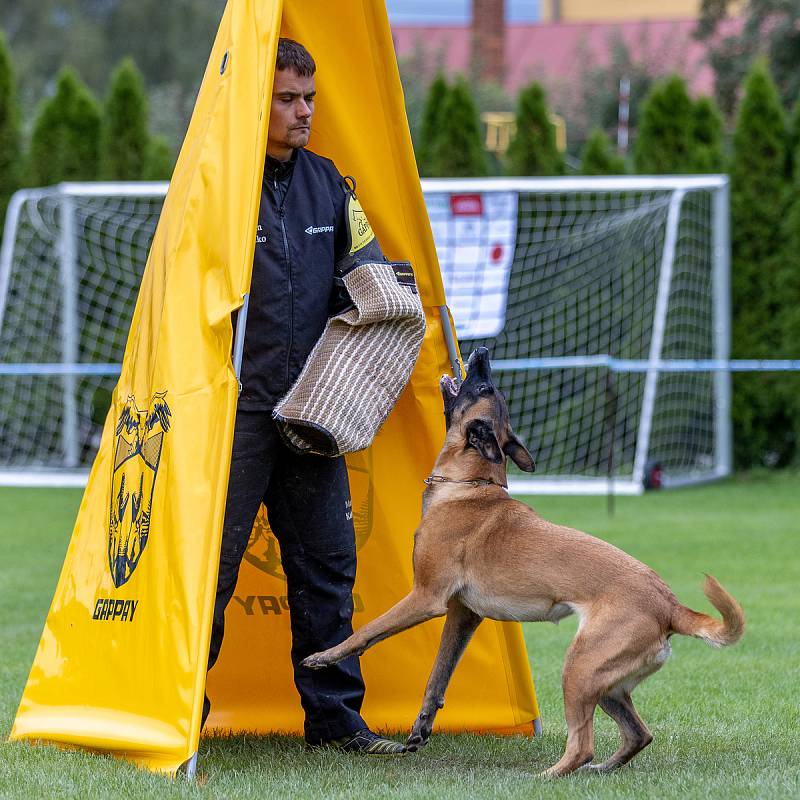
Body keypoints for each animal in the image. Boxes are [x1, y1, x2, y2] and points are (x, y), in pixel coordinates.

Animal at [304, 346, 748, 772]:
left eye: (485, 388)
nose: (482, 351)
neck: (470, 485)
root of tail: (670, 605)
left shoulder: (426, 598)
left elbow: (366, 632)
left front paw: (324, 656)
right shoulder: (463, 615)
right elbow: (437, 677)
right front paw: (420, 730)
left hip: (579, 669)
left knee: (582, 745)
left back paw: (547, 776)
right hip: (607, 685)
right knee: (638, 735)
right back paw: (601, 770)